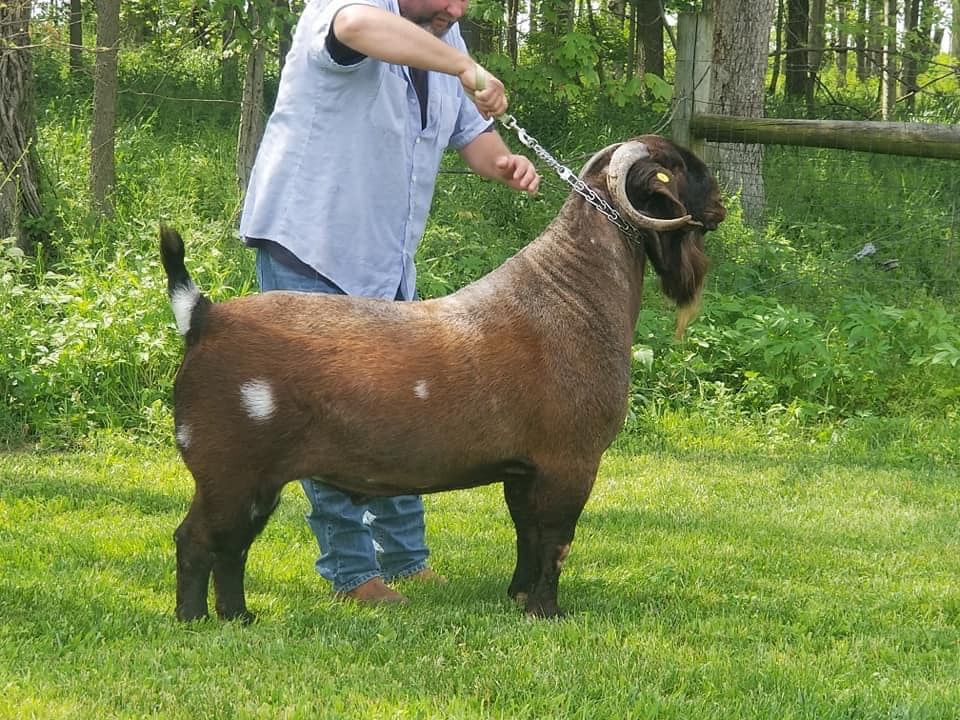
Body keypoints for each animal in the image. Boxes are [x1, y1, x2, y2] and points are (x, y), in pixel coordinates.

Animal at [160, 135, 726, 623]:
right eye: (684, 167)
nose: (723, 205)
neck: (570, 290)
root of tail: (205, 317)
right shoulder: (571, 462)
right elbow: (554, 540)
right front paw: (547, 610)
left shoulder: (522, 470)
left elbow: (526, 535)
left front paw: (518, 596)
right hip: (229, 471)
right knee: (197, 540)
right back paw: (195, 620)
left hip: (258, 482)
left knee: (231, 548)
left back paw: (238, 617)